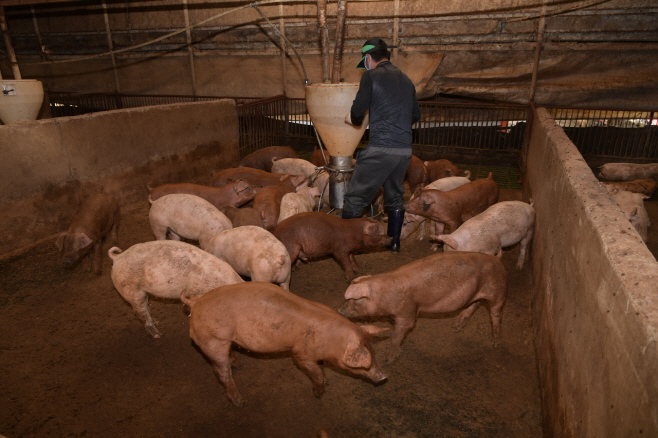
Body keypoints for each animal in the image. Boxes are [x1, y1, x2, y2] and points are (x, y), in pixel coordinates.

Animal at [181, 280, 384, 408]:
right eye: (364, 364)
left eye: (375, 353)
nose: (384, 377)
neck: (333, 341)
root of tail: (195, 302)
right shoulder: (301, 354)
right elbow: (316, 374)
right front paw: (318, 392)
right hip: (213, 341)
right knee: (221, 373)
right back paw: (241, 402)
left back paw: (237, 363)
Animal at [336, 252, 504, 362]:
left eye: (355, 299)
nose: (339, 311)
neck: (383, 295)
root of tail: (497, 258)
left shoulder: (408, 310)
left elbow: (398, 334)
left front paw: (390, 359)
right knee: (474, 305)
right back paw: (456, 327)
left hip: (498, 291)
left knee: (495, 315)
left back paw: (495, 344)